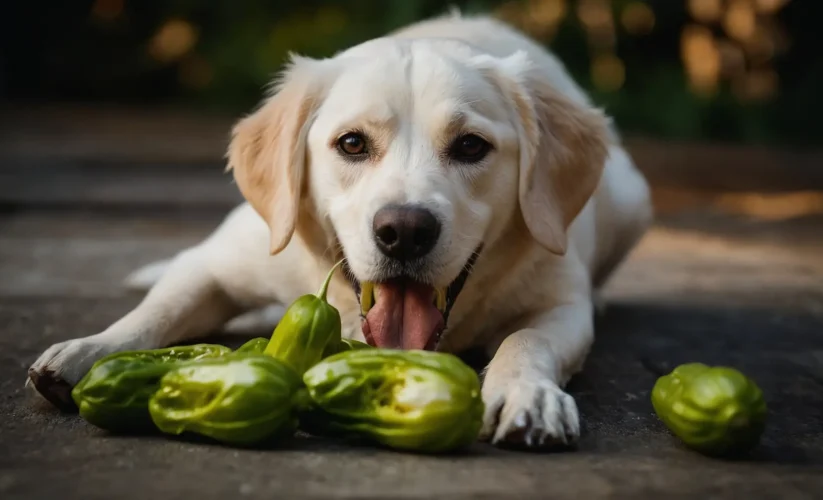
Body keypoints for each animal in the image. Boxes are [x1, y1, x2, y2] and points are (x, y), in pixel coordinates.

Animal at [29, 11, 652, 450]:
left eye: (471, 146)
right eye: (352, 143)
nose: (405, 231)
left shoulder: (561, 302)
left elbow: (528, 340)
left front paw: (527, 394)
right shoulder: (217, 262)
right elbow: (160, 309)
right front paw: (90, 350)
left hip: (632, 198)